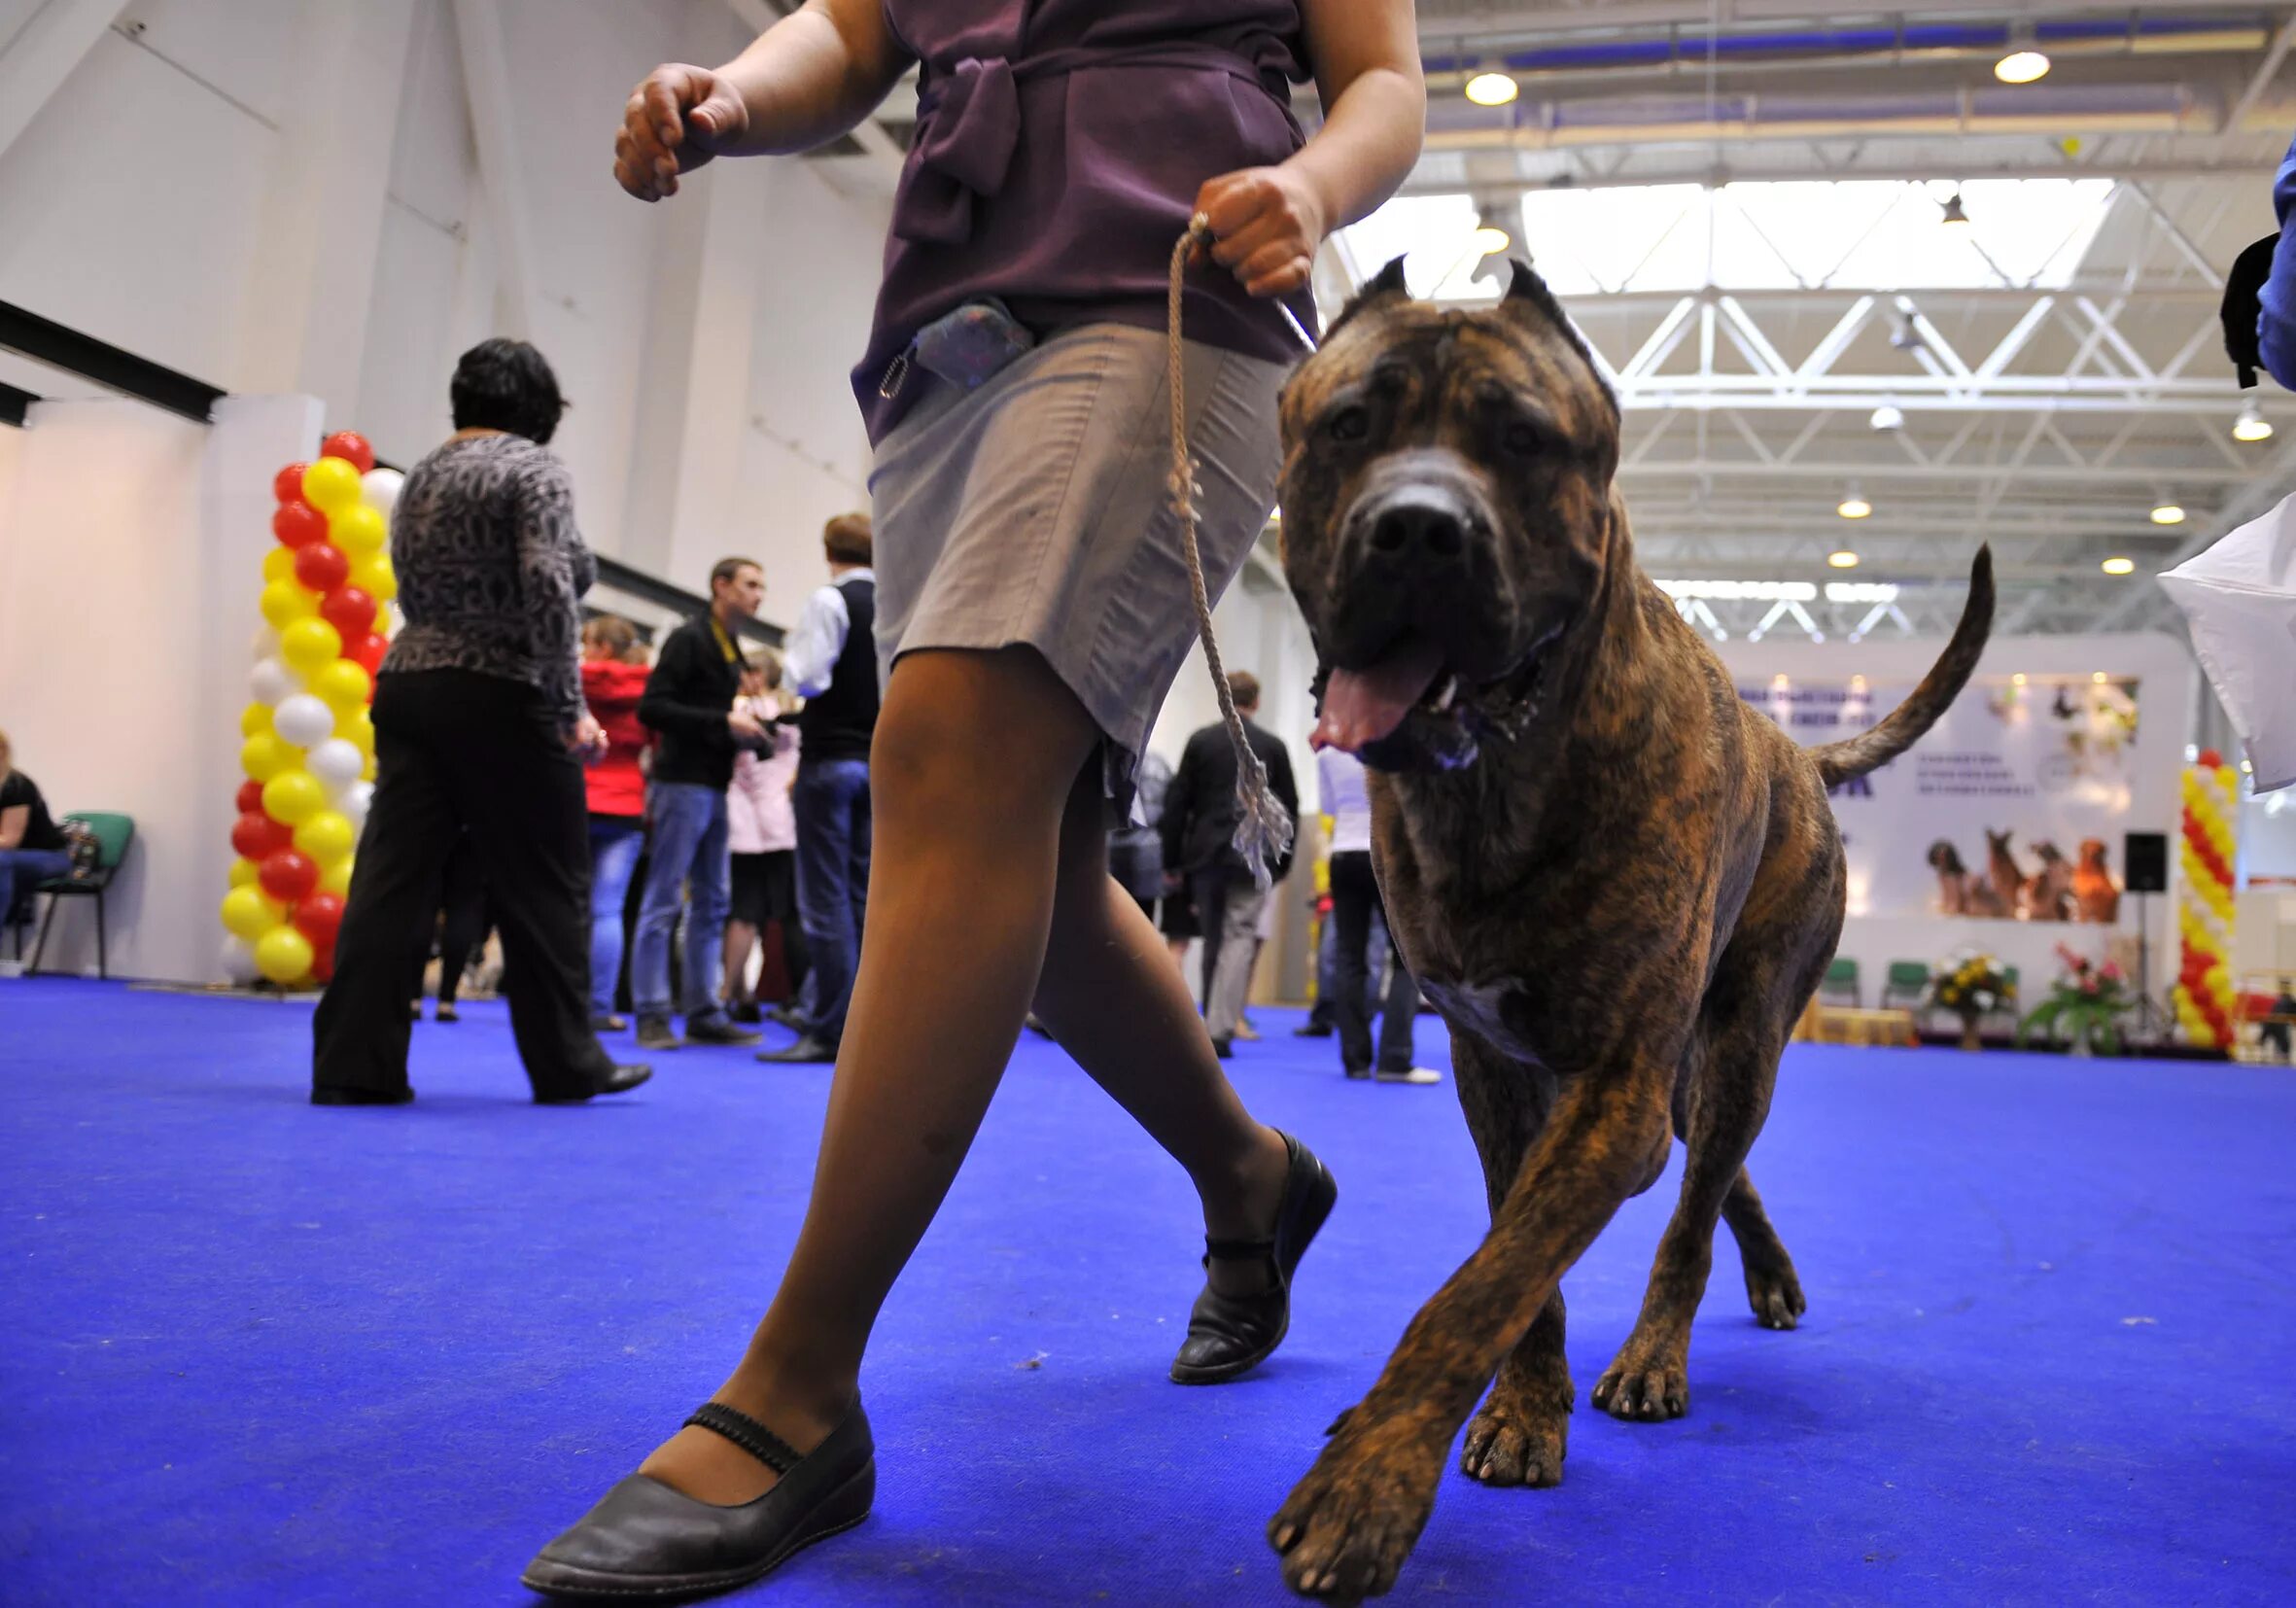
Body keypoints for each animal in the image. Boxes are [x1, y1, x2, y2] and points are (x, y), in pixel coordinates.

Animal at [1258, 257, 1993, 1598]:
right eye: (1348, 427)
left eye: (1520, 439)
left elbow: (1482, 1285)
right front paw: (1518, 1410)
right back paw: (1763, 1277)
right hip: (1685, 1070)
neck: (1493, 781)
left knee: (1692, 1208)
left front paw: (1367, 1481)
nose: (1417, 527)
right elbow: (1519, 1265)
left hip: (1741, 1029)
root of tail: (1798, 754)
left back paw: (1659, 1350)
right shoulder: (1499, 1068)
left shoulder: (1609, 1089)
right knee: (1714, 1165)